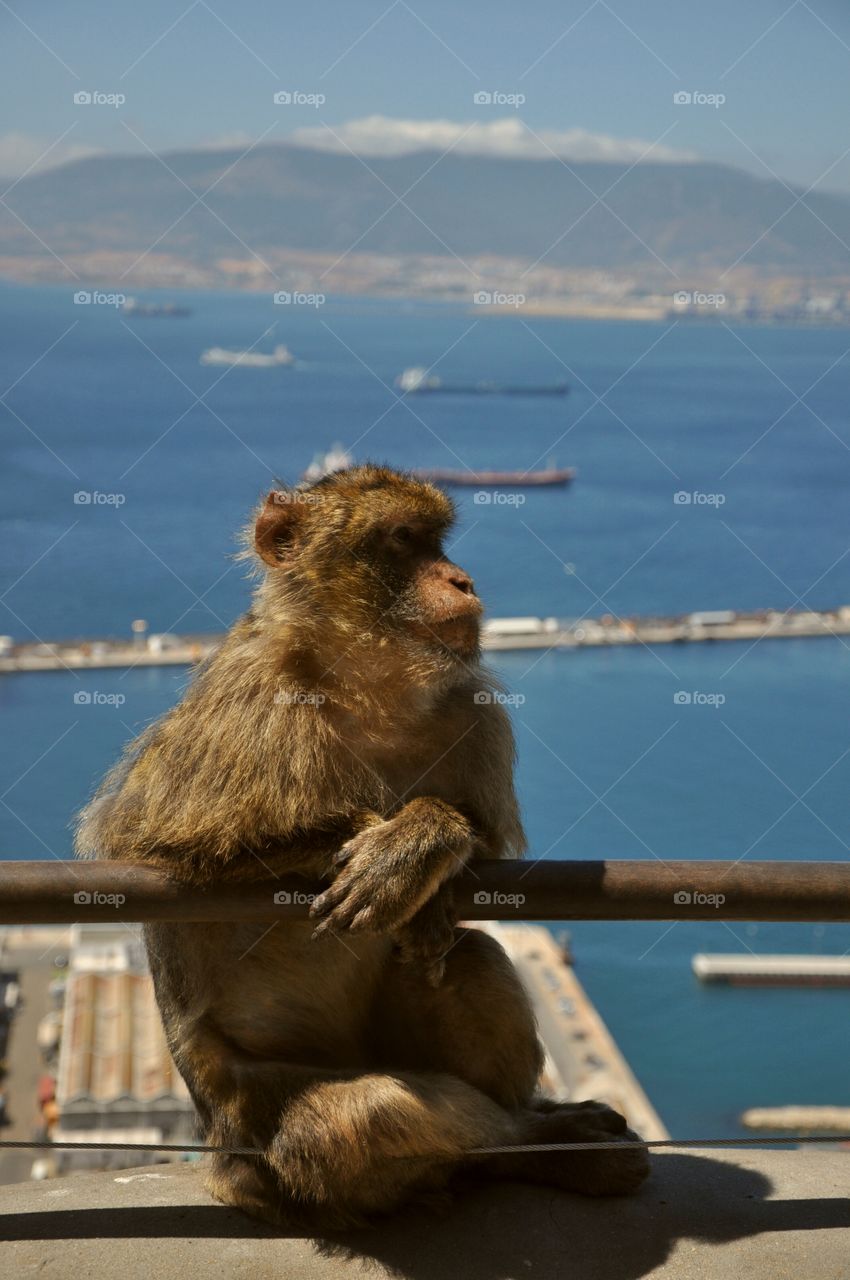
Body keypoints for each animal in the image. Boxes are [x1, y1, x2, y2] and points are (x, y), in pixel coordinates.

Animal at [76, 464, 649, 1230]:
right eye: (404, 540)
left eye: (437, 540)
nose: (462, 579)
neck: (367, 683)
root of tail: (226, 1169)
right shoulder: (245, 698)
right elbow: (152, 847)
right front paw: (397, 847)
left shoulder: (470, 709)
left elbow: (489, 868)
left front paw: (421, 853)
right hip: (247, 1126)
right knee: (351, 1116)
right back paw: (528, 1143)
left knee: (471, 960)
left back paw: (534, 1141)